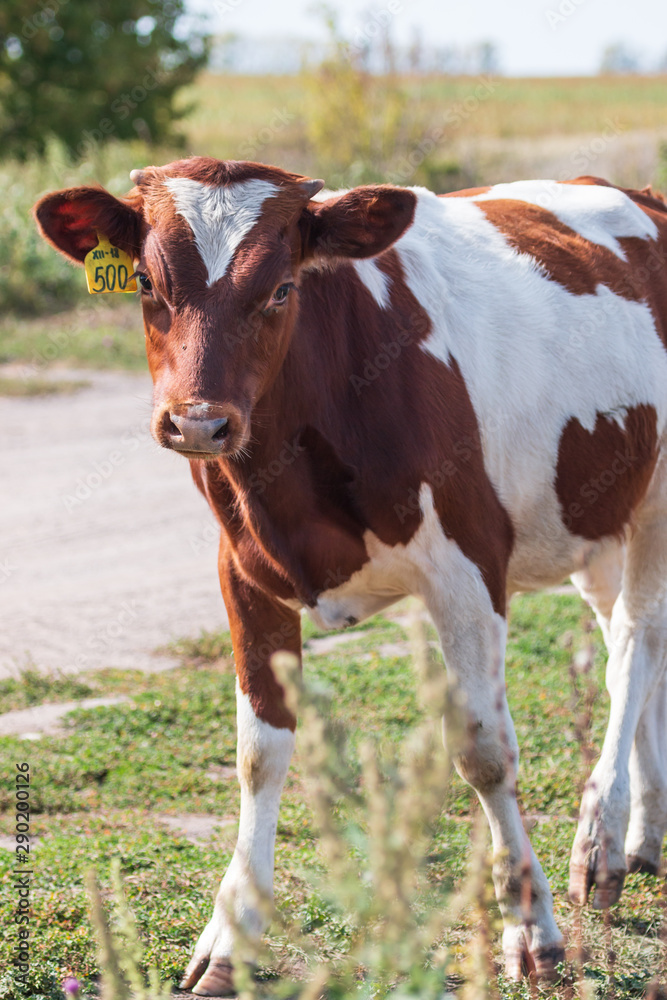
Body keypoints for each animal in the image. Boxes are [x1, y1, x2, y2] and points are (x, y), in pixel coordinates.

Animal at [34, 158, 667, 992]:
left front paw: (531, 933)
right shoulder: (242, 571)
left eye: (280, 289)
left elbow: (482, 750)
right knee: (628, 635)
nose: (198, 421)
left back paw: (598, 837)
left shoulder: (468, 566)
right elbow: (258, 754)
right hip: (592, 512)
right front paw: (231, 939)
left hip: (657, 493)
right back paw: (639, 835)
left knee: (635, 642)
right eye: (143, 279)